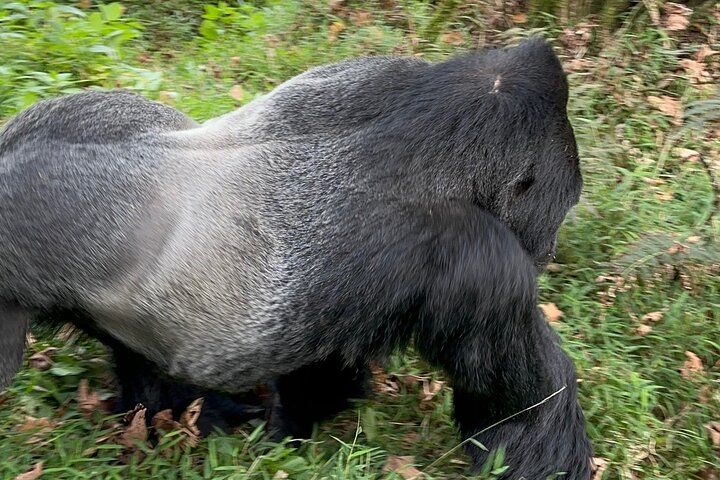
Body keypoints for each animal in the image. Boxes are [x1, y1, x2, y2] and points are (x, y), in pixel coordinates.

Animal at [0, 38, 592, 478]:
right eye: (561, 205)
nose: (548, 251)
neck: (419, 138)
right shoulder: (479, 259)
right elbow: (519, 405)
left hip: (74, 114)